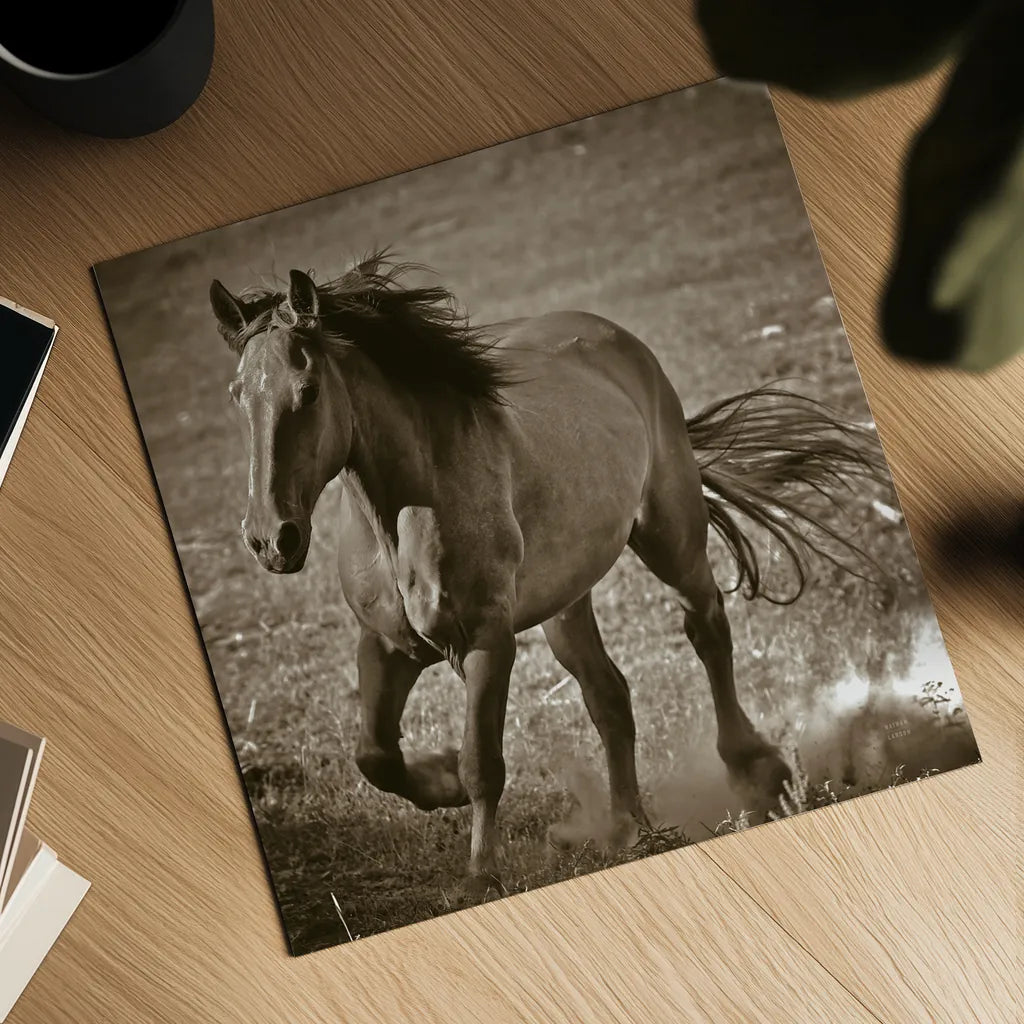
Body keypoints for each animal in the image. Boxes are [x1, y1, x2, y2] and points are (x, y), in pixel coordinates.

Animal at [209, 252, 884, 895]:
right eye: (238, 394)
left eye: (309, 389)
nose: (272, 540)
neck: (404, 511)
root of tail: (616, 338)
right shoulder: (386, 645)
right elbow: (374, 755)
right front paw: (441, 782)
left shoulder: (487, 641)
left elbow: (483, 762)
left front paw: (482, 873)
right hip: (566, 602)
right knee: (609, 694)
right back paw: (627, 826)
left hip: (671, 538)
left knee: (707, 628)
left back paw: (753, 771)